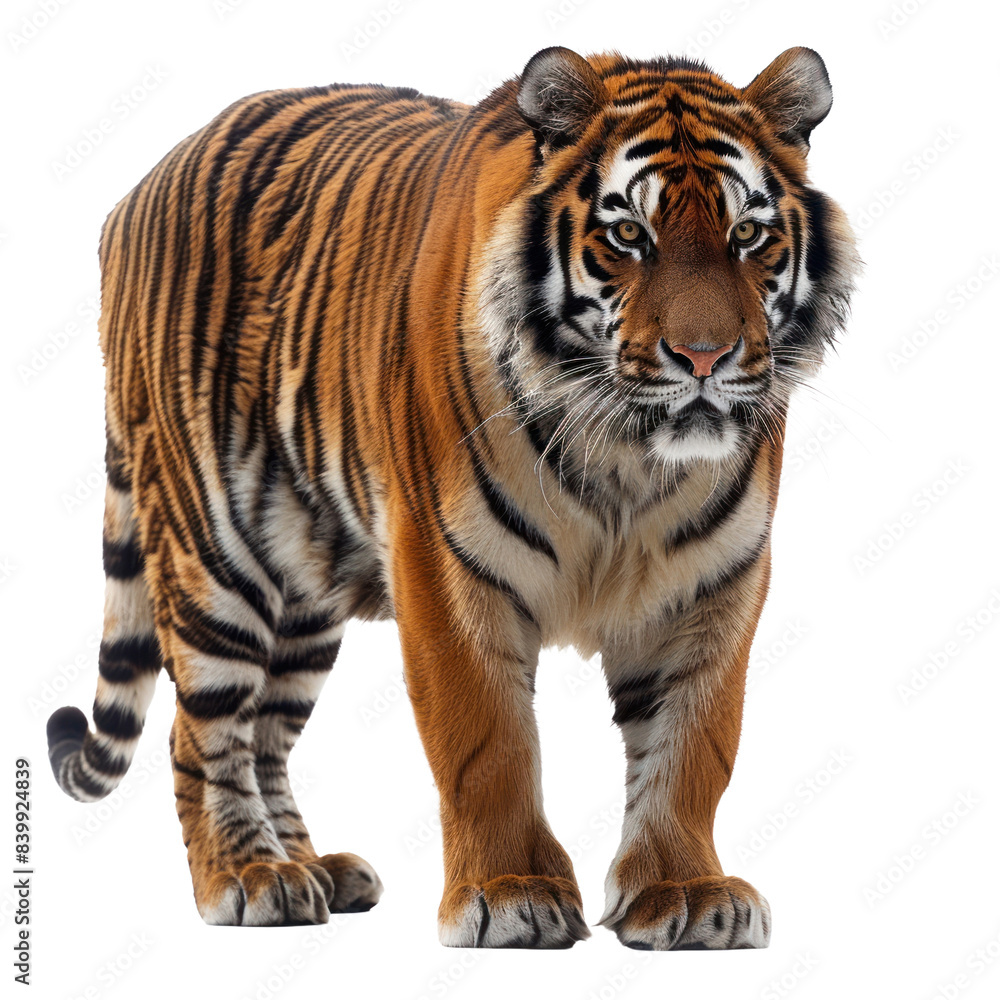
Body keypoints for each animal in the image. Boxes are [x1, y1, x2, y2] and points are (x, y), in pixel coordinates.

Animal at [46, 44, 858, 949]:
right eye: (628, 235)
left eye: (747, 234)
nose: (706, 357)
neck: (630, 458)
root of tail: (139, 187)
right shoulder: (443, 565)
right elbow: (486, 741)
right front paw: (509, 894)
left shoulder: (715, 584)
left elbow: (694, 748)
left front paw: (685, 892)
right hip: (214, 550)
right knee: (203, 729)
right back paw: (249, 875)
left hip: (304, 591)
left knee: (267, 735)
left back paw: (314, 870)